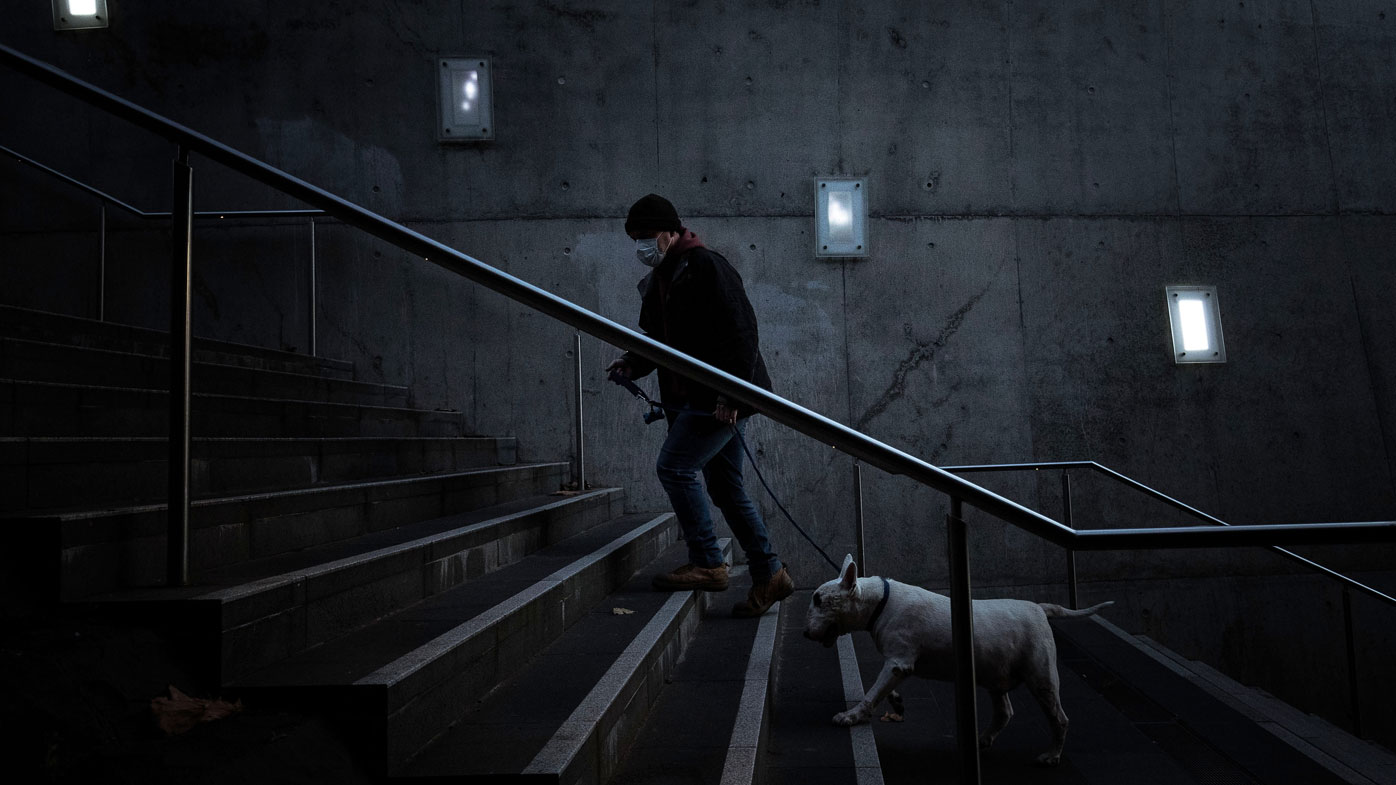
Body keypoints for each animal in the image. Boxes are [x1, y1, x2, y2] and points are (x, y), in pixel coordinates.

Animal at [809, 553, 1111, 759]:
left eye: (818, 599)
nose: (803, 632)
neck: (880, 602)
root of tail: (1039, 608)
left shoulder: (899, 661)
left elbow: (873, 692)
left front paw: (850, 716)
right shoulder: (897, 664)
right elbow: (883, 687)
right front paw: (896, 702)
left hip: (1041, 676)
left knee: (1059, 717)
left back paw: (1052, 755)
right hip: (995, 676)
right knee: (1004, 712)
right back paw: (983, 740)